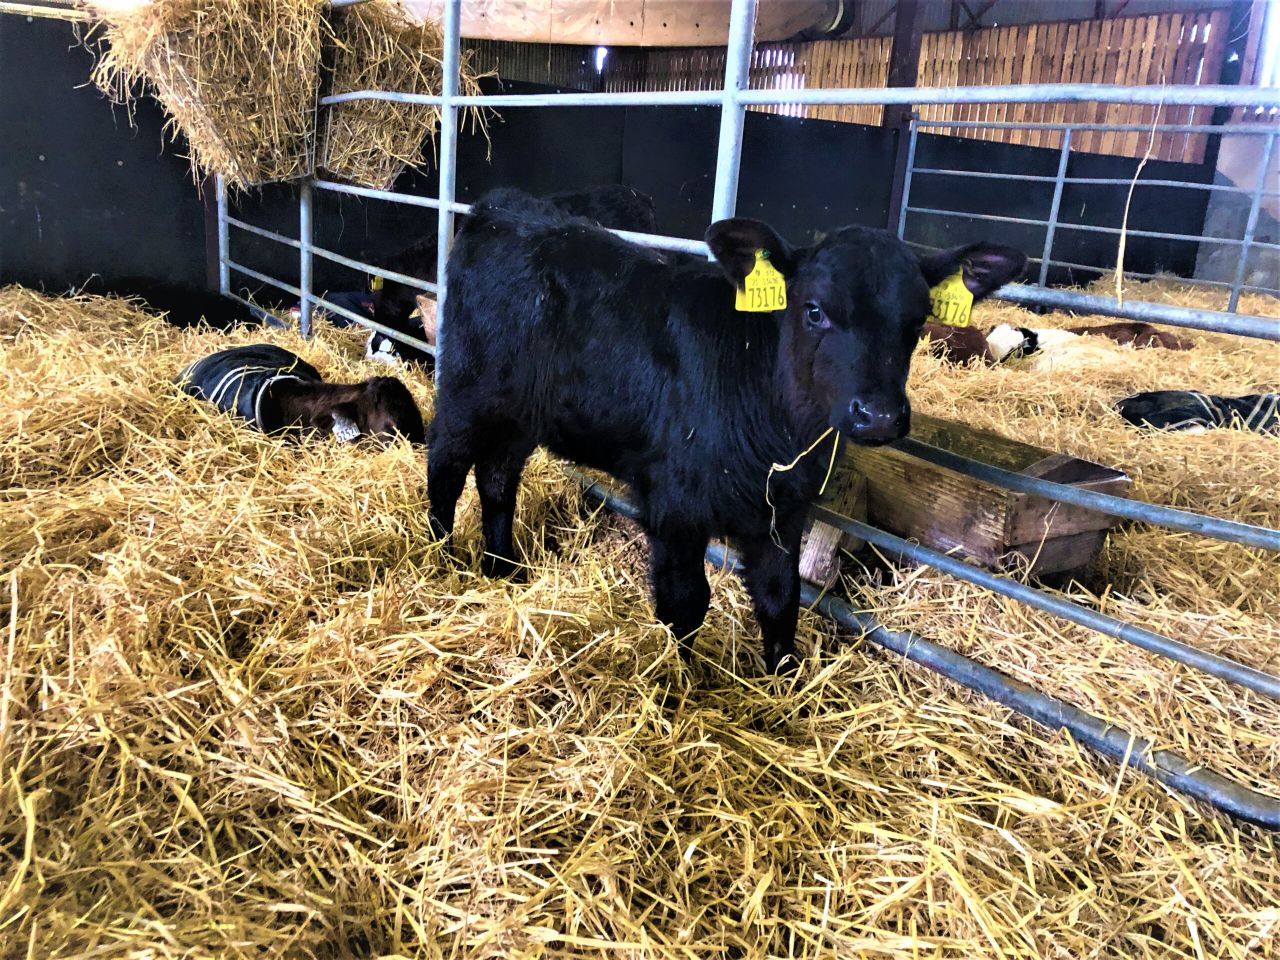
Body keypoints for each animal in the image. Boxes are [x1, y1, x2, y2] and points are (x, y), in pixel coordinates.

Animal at [427, 189, 1026, 673]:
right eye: (814, 310)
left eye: (918, 320)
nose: (878, 414)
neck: (778, 434)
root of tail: (504, 207)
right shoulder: (674, 506)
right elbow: (686, 604)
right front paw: (683, 686)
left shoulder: (784, 510)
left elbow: (781, 599)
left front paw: (782, 687)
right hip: (465, 391)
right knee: (446, 470)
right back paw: (441, 560)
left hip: (520, 413)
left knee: (498, 479)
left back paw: (504, 570)